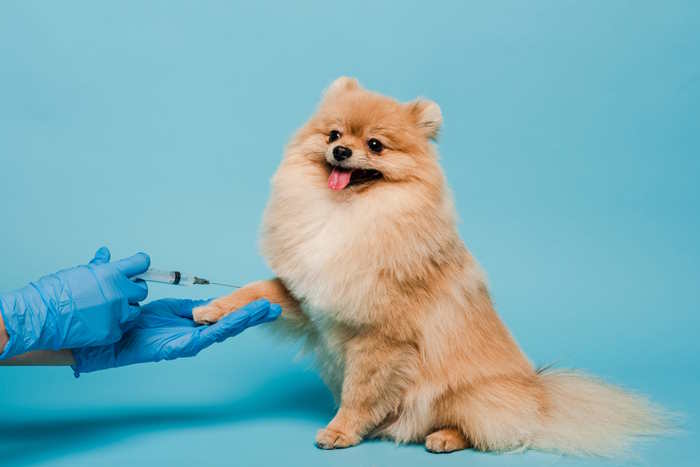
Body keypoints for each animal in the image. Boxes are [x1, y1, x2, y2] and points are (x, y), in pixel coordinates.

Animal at [193, 77, 668, 458]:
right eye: (333, 134)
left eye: (375, 145)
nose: (341, 150)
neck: (346, 214)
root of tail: (540, 393)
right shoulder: (310, 296)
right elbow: (256, 290)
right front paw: (211, 309)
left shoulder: (380, 337)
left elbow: (360, 392)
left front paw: (341, 431)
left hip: (468, 395)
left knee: (486, 430)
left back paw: (444, 437)